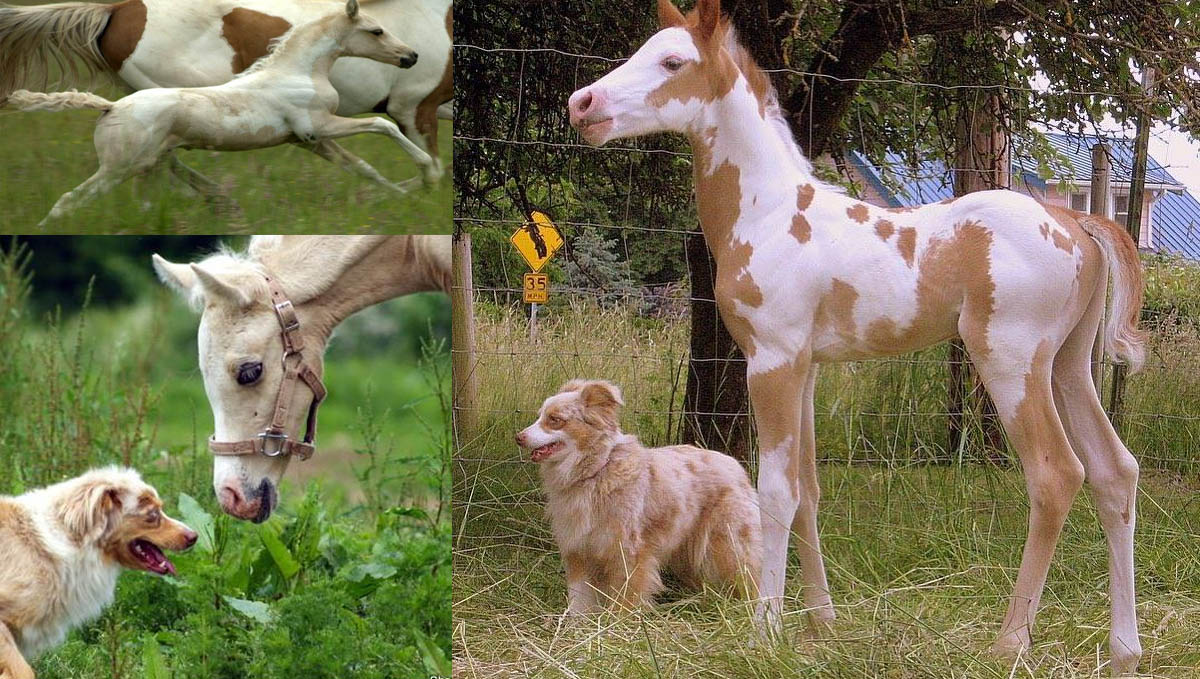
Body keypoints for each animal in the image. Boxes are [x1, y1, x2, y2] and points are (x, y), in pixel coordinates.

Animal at [2, 0, 434, 227]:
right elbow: (380, 124)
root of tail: (110, 106)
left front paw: (403, 197)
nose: (411, 56)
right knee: (68, 200)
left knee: (146, 204)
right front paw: (427, 169)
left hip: (147, 167)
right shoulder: (319, 126)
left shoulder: (309, 140)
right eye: (376, 31)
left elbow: (364, 167)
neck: (299, 70)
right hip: (117, 168)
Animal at [513, 381, 758, 614]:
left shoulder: (628, 555)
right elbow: (579, 602)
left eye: (555, 420)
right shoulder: (579, 552)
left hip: (727, 546)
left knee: (746, 576)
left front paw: (617, 623)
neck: (595, 471)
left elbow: (624, 600)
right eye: (539, 416)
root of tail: (736, 466)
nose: (518, 438)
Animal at [566, 0, 1147, 676]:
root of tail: (1074, 218)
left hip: (1010, 361)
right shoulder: (806, 366)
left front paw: (764, 631)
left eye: (672, 61)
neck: (767, 212)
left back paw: (1010, 642)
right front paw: (820, 622)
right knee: (1114, 472)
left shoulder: (771, 362)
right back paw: (1124, 648)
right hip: (1068, 365)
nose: (583, 104)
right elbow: (809, 491)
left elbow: (775, 491)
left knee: (1055, 476)